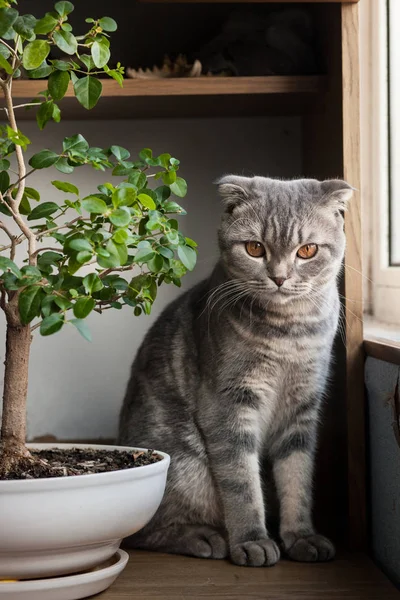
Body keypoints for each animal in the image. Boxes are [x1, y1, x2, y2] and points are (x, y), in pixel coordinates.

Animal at [119, 175, 354, 568]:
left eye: (307, 250)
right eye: (255, 248)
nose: (279, 277)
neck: (290, 332)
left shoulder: (302, 409)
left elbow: (297, 479)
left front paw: (301, 537)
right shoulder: (229, 406)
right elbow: (242, 484)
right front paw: (252, 541)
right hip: (185, 463)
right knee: (143, 532)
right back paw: (204, 537)